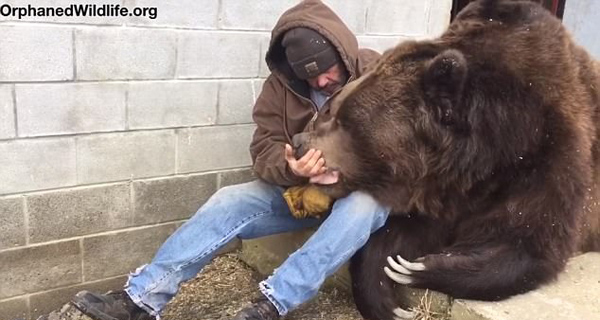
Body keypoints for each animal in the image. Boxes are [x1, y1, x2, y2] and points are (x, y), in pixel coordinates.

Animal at [292, 0, 600, 320]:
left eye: (344, 119)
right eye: (335, 109)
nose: (299, 142)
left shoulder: (549, 160)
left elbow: (528, 244)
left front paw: (418, 268)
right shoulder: (439, 190)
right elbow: (397, 234)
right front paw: (390, 300)